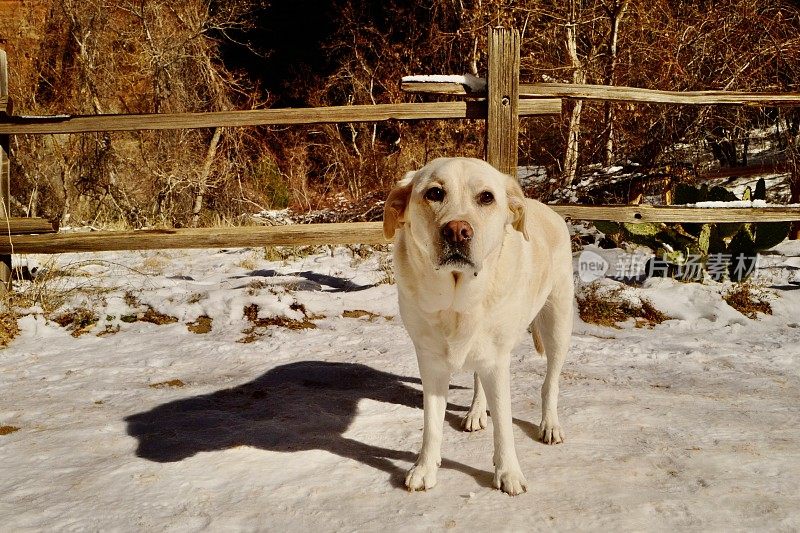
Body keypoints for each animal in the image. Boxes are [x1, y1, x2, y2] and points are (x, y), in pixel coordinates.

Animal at [384, 157, 572, 494]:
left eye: (486, 197)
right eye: (434, 193)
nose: (457, 231)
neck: (457, 300)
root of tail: (546, 208)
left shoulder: (498, 361)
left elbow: (504, 425)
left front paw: (508, 474)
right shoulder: (430, 362)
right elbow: (431, 424)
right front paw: (424, 469)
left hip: (558, 324)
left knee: (550, 382)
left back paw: (549, 425)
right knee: (477, 378)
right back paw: (474, 412)